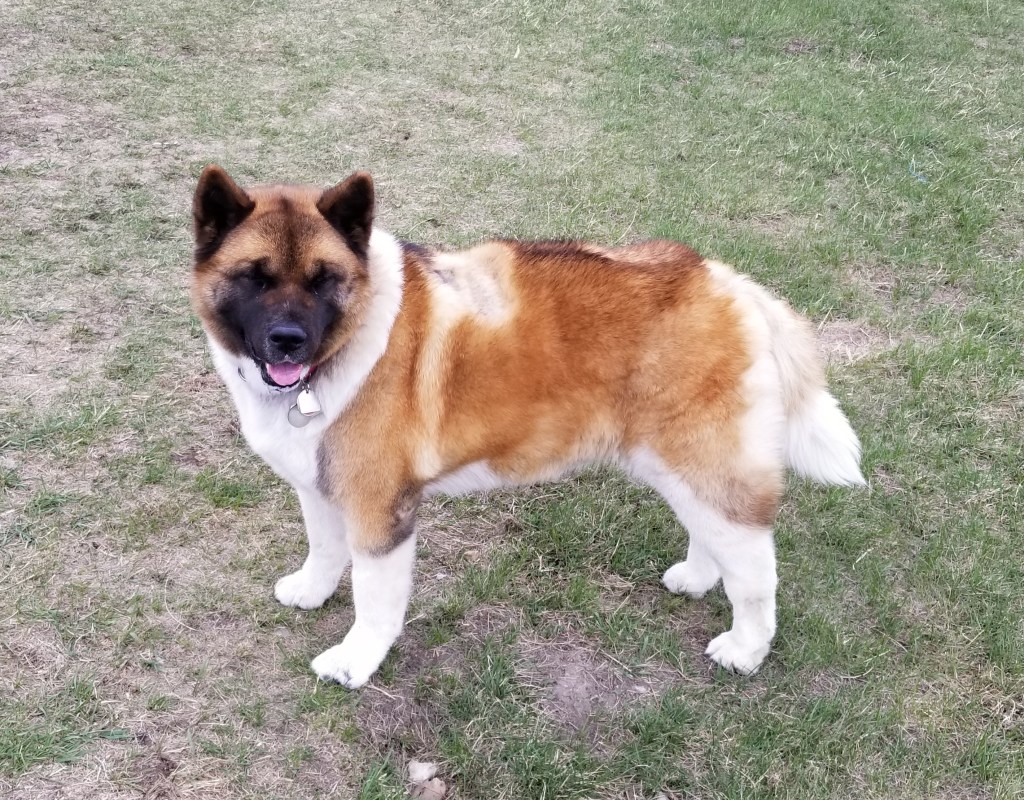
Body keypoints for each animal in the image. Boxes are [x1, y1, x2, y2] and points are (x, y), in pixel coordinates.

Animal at [190, 165, 865, 688]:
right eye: (254, 276)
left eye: (324, 280)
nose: (288, 341)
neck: (345, 344)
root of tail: (727, 284)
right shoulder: (320, 485)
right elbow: (324, 549)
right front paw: (311, 590)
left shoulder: (381, 512)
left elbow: (374, 601)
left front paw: (355, 664)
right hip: (678, 464)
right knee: (710, 533)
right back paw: (697, 579)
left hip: (707, 467)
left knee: (755, 570)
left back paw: (745, 651)